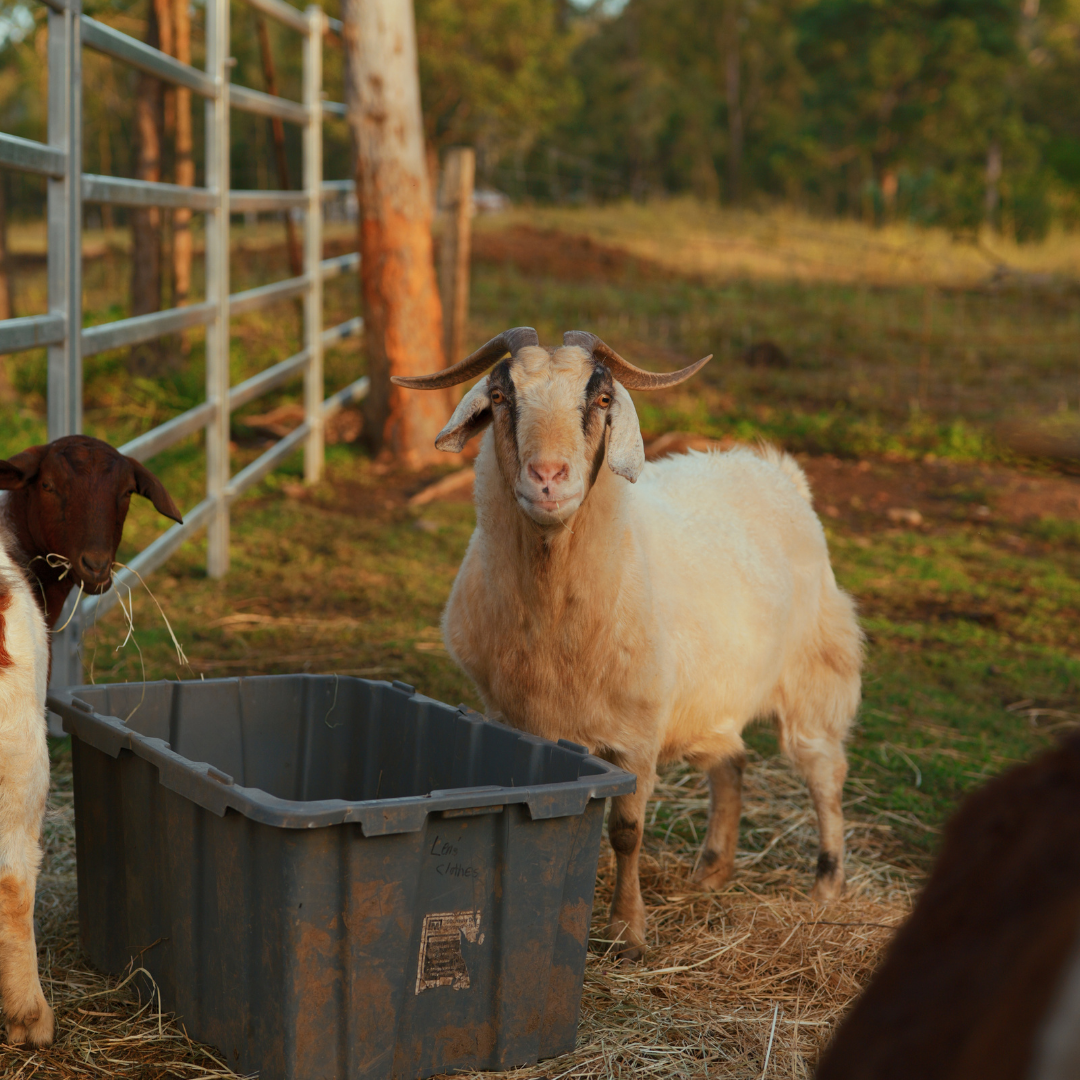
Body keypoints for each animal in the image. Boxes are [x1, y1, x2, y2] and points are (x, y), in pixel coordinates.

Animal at [0, 435, 181, 1045]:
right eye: (49, 485)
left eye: (126, 492)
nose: (97, 568)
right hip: (21, 751)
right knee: (13, 878)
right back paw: (31, 1015)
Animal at [393, 329, 863, 958]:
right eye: (498, 396)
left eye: (600, 400)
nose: (548, 477)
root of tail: (771, 467)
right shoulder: (514, 718)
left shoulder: (637, 735)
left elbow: (626, 832)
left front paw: (627, 931)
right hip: (718, 688)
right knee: (731, 761)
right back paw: (711, 871)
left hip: (814, 670)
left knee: (824, 772)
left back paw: (826, 887)